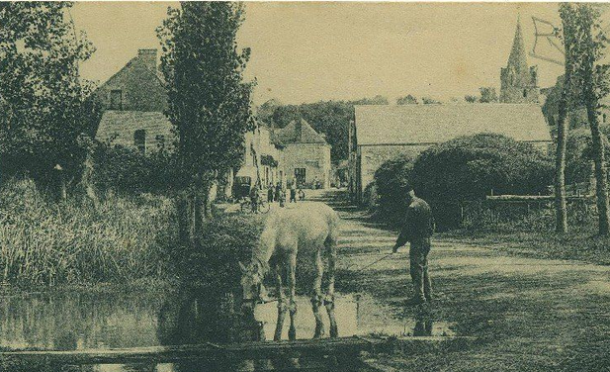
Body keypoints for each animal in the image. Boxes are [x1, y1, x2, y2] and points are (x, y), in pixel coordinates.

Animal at [239, 202, 342, 342]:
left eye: (255, 285)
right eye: (241, 284)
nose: (245, 308)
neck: (277, 229)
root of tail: (331, 210)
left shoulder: (291, 256)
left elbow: (291, 280)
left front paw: (292, 306)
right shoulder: (275, 260)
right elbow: (278, 281)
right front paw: (281, 303)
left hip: (331, 244)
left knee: (331, 268)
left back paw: (328, 297)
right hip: (315, 248)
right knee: (319, 268)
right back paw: (316, 296)